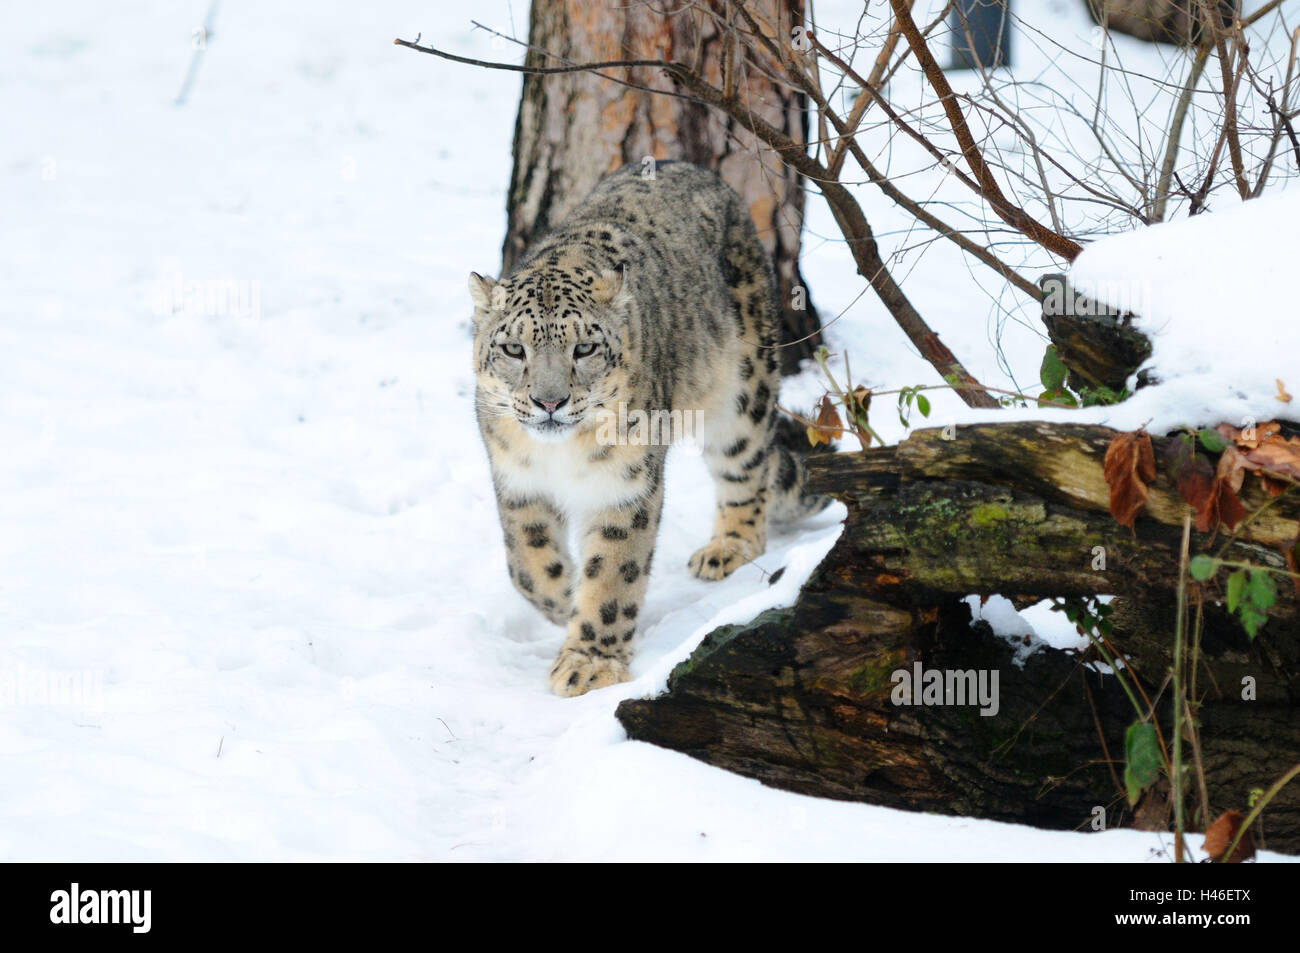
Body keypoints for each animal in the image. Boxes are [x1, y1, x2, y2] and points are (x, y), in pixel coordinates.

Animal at [473, 161, 826, 696]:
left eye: (584, 348)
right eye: (514, 349)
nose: (549, 401)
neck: (562, 456)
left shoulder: (625, 485)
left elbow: (613, 574)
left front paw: (589, 663)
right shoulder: (516, 478)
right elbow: (528, 564)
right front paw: (564, 598)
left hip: (743, 393)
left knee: (747, 472)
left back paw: (727, 548)